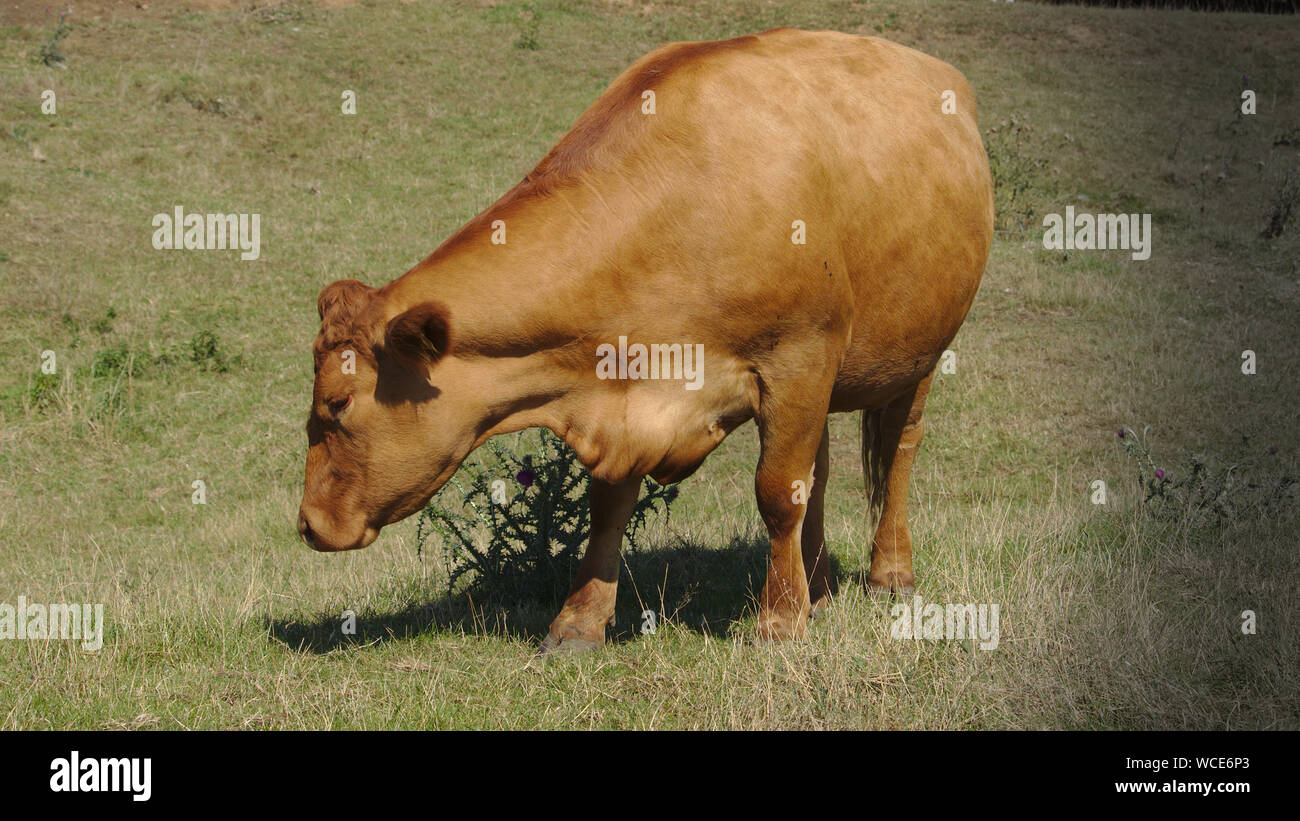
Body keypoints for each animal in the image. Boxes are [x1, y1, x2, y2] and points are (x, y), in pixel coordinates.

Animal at [297, 27, 994, 654]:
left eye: (338, 403)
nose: (308, 523)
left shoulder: (798, 357)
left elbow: (776, 494)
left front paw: (777, 623)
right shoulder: (621, 394)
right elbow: (610, 508)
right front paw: (578, 625)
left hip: (918, 353)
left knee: (897, 451)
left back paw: (888, 576)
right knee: (818, 473)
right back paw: (816, 589)